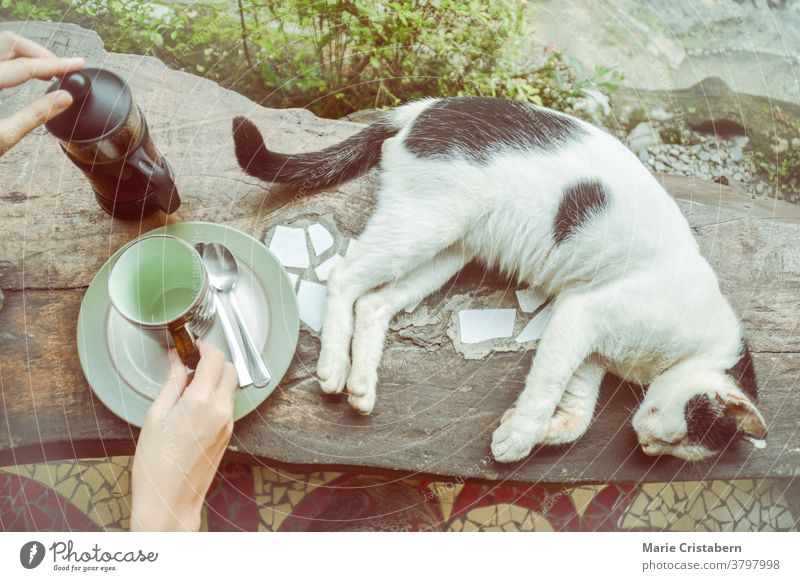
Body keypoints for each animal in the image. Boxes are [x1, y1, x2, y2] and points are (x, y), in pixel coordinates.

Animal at [231, 95, 768, 462]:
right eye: (670, 428)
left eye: (671, 448)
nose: (644, 443)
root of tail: (428, 105)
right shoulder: (582, 315)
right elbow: (547, 385)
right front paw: (519, 437)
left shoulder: (590, 350)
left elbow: (577, 414)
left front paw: (538, 431)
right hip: (424, 226)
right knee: (342, 276)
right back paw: (333, 369)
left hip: (449, 249)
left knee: (374, 302)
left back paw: (362, 385)